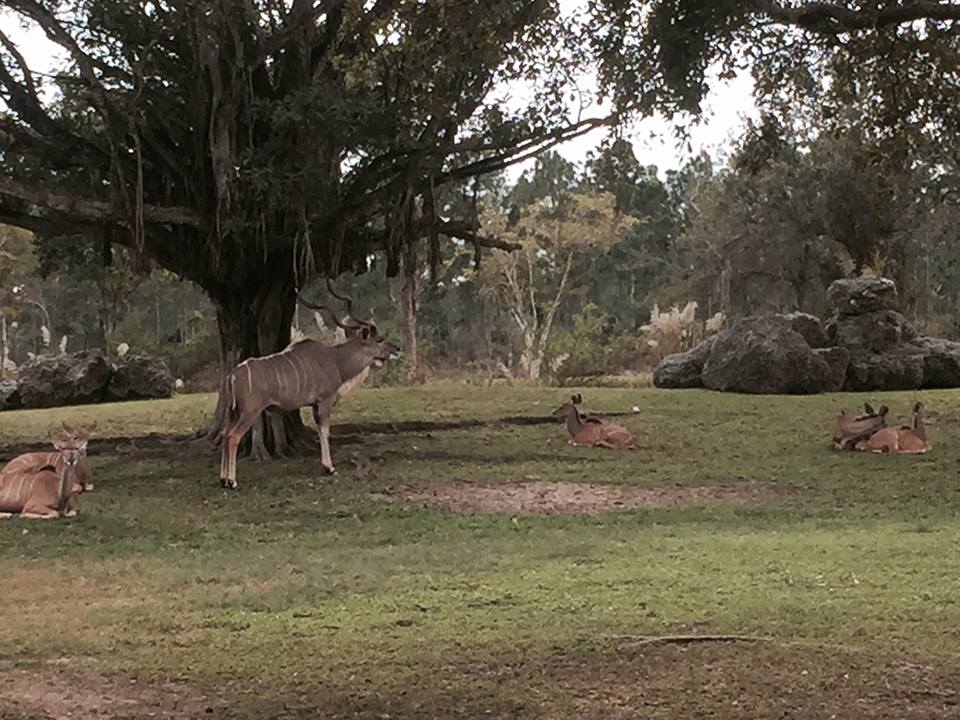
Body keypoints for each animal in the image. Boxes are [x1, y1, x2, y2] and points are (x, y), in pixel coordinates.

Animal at [217, 283, 398, 489]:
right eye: (379, 340)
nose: (396, 349)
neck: (336, 360)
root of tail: (232, 375)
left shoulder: (314, 405)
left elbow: (320, 431)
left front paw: (325, 466)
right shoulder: (325, 400)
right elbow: (325, 431)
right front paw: (330, 468)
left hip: (234, 412)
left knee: (224, 434)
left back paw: (223, 479)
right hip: (250, 411)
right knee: (233, 437)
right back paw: (232, 481)